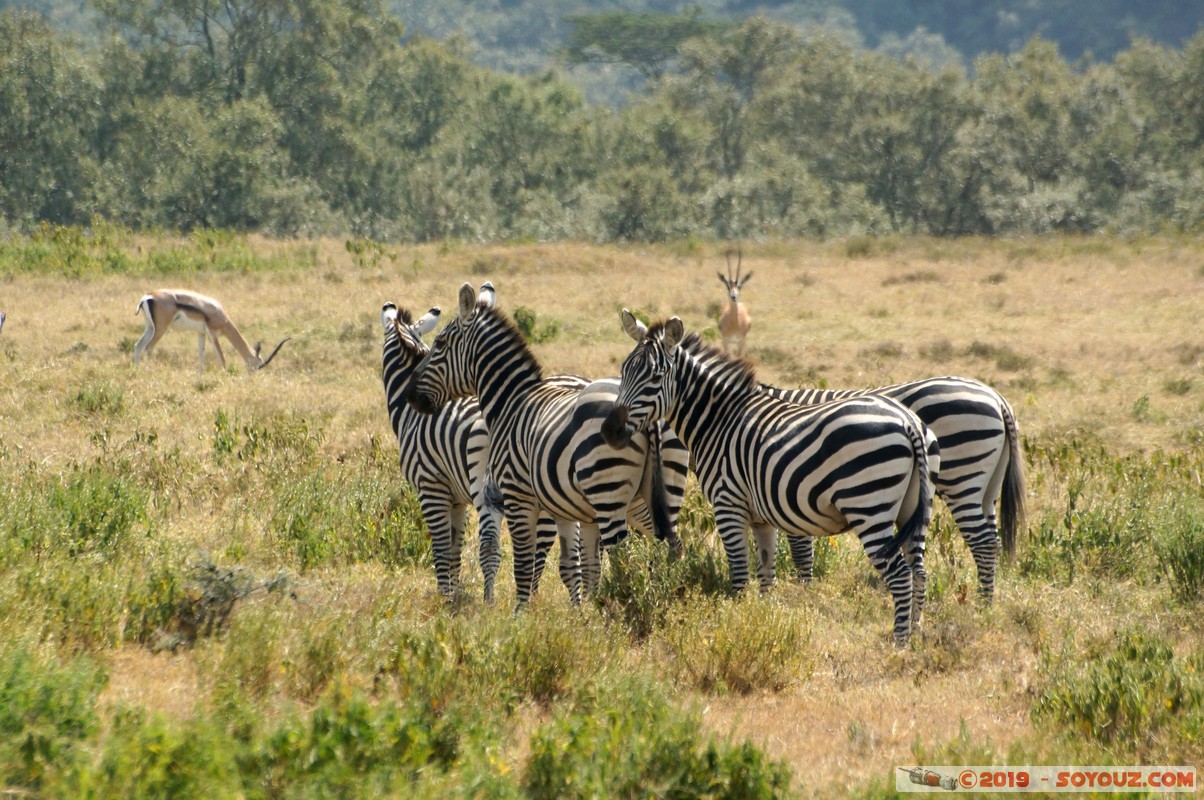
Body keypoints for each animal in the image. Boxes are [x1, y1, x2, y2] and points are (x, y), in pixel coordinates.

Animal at [406, 280, 683, 607]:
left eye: (439, 344)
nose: (409, 394)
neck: (511, 402)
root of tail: (649, 415)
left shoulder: (518, 497)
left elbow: (524, 564)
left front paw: (520, 614)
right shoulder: (566, 509)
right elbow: (578, 565)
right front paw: (584, 611)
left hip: (609, 492)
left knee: (624, 558)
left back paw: (628, 605)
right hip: (662, 493)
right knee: (670, 546)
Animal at [606, 308, 934, 645]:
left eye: (656, 377)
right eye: (623, 370)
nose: (610, 431)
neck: (719, 421)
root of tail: (907, 421)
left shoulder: (728, 505)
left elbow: (739, 575)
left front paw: (735, 626)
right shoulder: (762, 518)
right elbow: (766, 574)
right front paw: (762, 623)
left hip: (869, 506)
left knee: (899, 575)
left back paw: (899, 643)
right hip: (911, 509)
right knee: (919, 570)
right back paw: (916, 633)